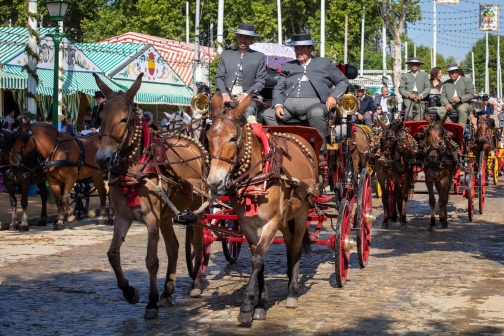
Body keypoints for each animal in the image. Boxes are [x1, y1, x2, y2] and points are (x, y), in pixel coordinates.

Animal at [92, 72, 207, 318]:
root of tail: (192, 143)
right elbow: (113, 254)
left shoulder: (151, 218)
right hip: (168, 214)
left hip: (197, 210)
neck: (135, 169)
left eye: (124, 119)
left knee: (200, 244)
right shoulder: (123, 217)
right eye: (101, 117)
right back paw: (168, 290)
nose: (102, 159)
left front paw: (151, 302)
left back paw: (195, 284)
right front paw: (129, 292)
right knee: (173, 247)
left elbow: (152, 260)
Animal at [204, 89, 316, 322]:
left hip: (301, 213)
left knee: (297, 245)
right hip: (286, 217)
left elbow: (256, 259)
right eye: (207, 138)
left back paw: (293, 291)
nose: (214, 183)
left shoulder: (270, 222)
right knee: (289, 243)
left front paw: (247, 304)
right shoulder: (247, 225)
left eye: (233, 138)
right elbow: (260, 259)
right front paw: (260, 303)